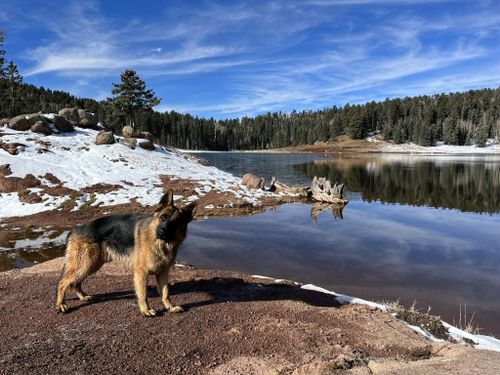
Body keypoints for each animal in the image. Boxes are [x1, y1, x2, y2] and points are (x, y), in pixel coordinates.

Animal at [55, 191, 195, 318]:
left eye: (175, 223)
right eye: (163, 217)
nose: (161, 232)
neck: (160, 244)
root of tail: (75, 229)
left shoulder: (163, 273)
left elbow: (166, 293)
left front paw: (170, 307)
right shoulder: (141, 273)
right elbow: (143, 294)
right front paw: (146, 310)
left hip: (91, 265)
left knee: (75, 283)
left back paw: (83, 297)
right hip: (85, 264)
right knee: (62, 283)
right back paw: (61, 305)